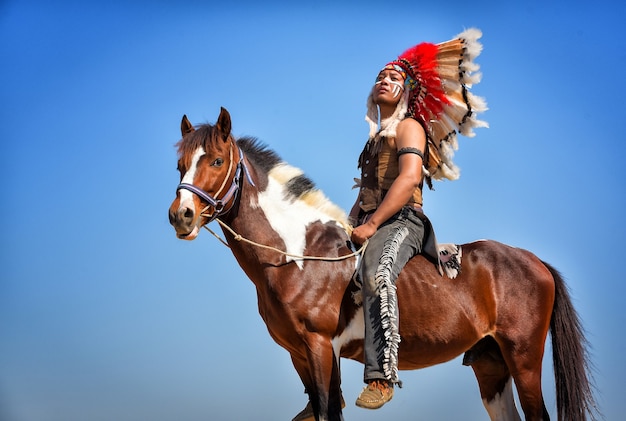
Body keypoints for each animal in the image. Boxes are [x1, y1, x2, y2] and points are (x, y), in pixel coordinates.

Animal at [168, 106, 596, 418]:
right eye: (180, 165)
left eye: (217, 161)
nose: (181, 215)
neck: (297, 257)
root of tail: (535, 260)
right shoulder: (299, 354)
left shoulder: (320, 346)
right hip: (490, 365)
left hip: (523, 359)